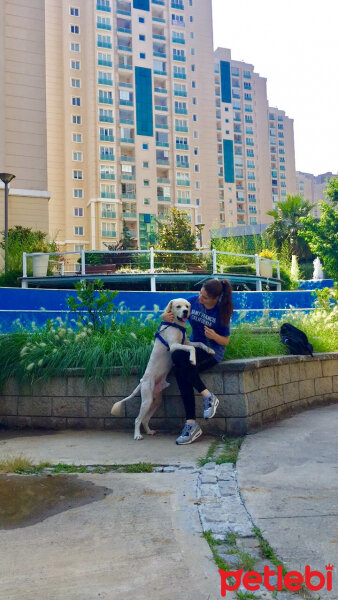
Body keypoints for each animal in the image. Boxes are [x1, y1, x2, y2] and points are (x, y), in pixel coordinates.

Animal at [112, 298, 215, 440]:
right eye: (178, 306)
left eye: (187, 306)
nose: (185, 311)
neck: (176, 324)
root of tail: (143, 381)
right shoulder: (173, 346)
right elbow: (192, 348)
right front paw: (192, 359)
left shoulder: (186, 342)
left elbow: (199, 343)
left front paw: (210, 349)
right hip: (147, 400)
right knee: (138, 419)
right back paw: (137, 435)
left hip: (155, 401)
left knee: (145, 419)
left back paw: (149, 431)